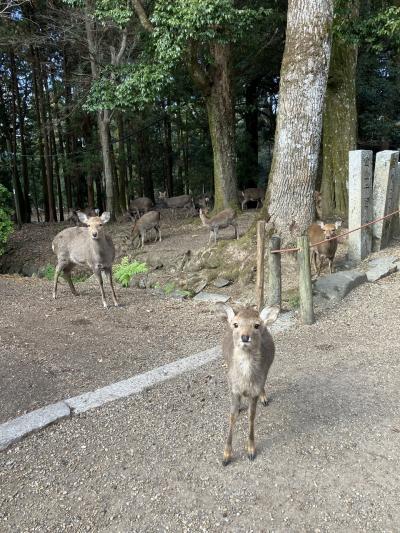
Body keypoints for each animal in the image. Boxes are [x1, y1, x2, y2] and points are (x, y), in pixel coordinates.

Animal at [217, 304, 280, 466]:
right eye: (236, 324)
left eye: (256, 325)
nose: (245, 337)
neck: (245, 381)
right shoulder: (233, 389)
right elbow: (232, 416)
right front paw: (226, 456)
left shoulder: (254, 391)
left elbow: (252, 416)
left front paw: (251, 450)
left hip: (268, 367)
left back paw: (265, 398)